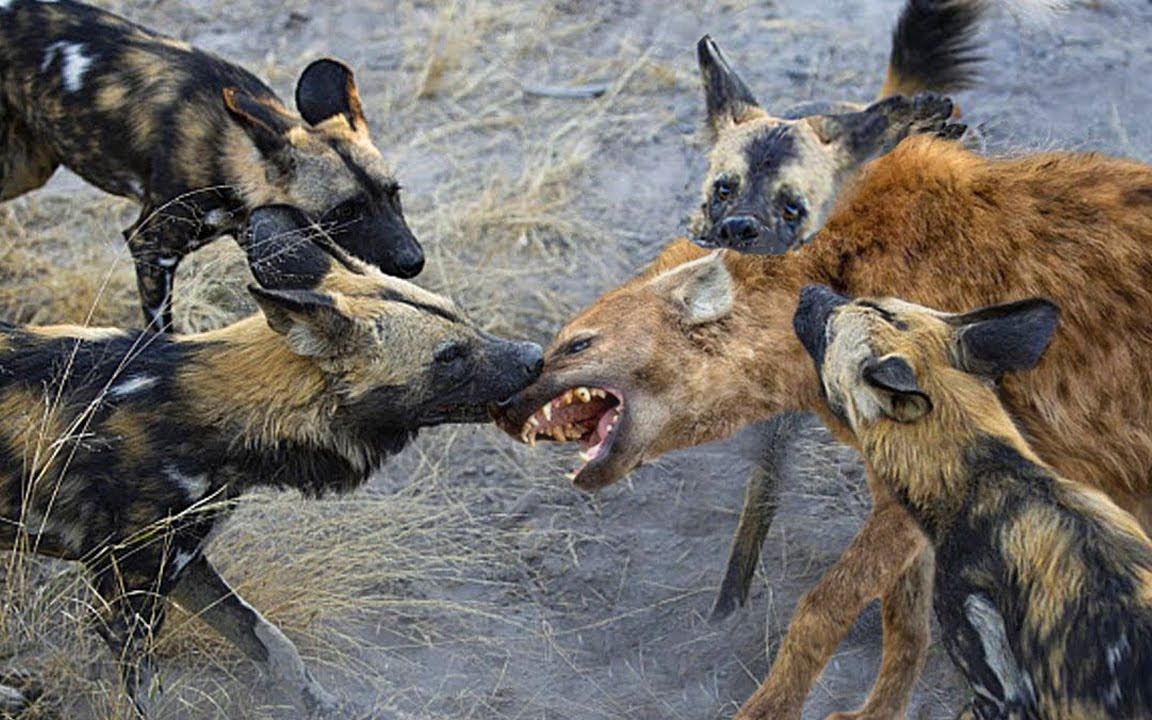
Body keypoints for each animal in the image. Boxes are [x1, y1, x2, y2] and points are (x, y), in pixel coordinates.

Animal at [0, 0, 423, 331]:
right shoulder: (150, 247)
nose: (413, 261)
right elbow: (160, 332)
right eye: (345, 211)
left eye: (393, 194)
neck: (231, 153)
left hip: (29, 169)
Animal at [0, 205, 539, 714]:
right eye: (448, 356)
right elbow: (155, 698)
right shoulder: (128, 605)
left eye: (463, 317)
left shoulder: (186, 566)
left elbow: (272, 643)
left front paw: (319, 705)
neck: (204, 410)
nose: (535, 356)